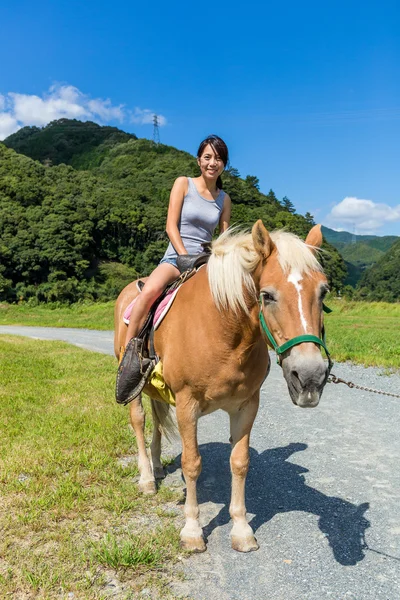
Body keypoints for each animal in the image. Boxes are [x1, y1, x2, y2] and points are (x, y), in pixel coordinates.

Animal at [114, 220, 330, 552]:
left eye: (323, 292)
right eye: (267, 295)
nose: (309, 378)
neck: (223, 329)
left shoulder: (247, 405)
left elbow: (240, 462)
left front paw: (241, 530)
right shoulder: (187, 404)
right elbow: (191, 463)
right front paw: (192, 530)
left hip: (155, 390)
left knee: (158, 424)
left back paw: (158, 467)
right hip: (134, 388)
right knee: (138, 421)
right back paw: (147, 479)